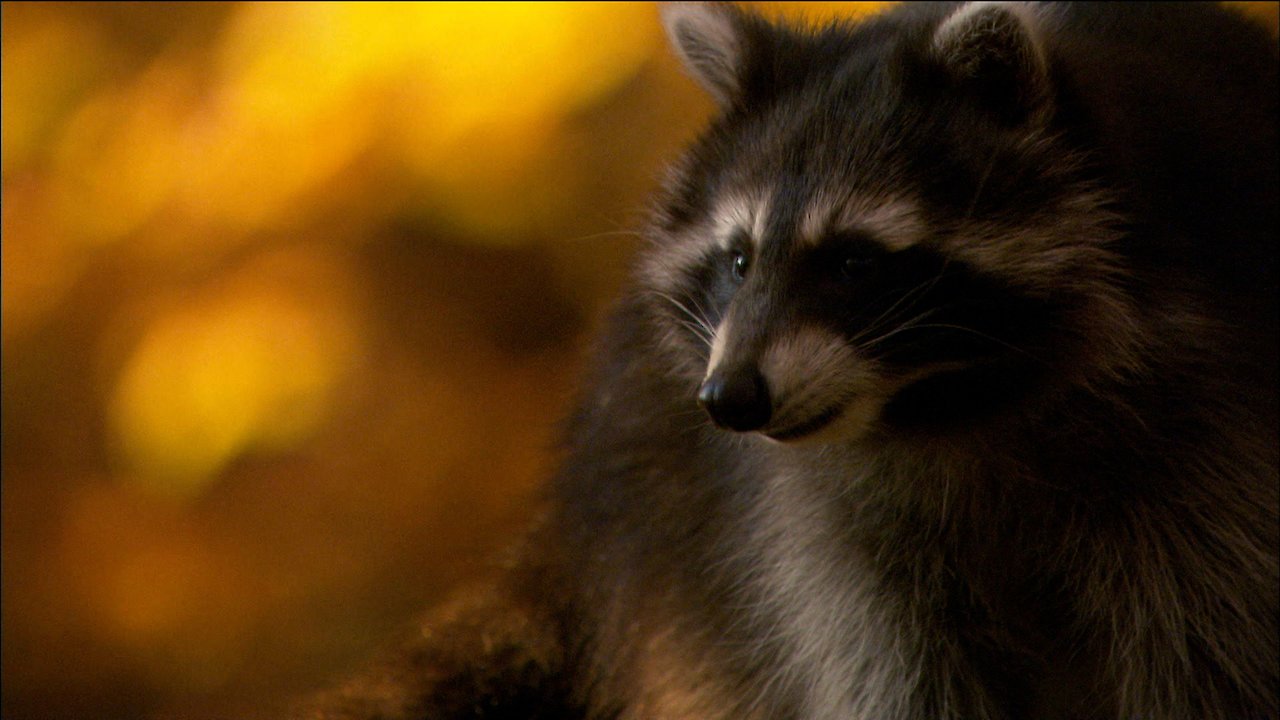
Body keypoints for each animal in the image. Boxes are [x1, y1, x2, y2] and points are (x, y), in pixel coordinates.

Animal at [301, 2, 1278, 719]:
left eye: (852, 262)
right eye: (738, 260)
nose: (730, 399)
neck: (956, 403)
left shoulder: (1208, 470)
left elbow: (1213, 668)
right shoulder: (824, 536)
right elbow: (890, 681)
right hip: (672, 582)